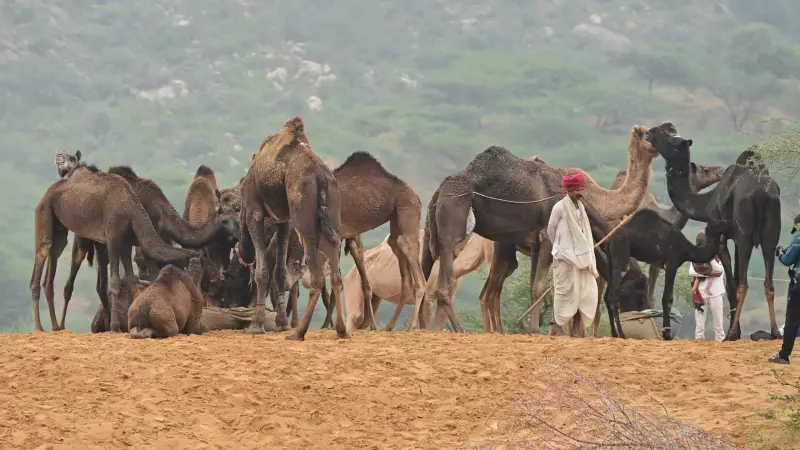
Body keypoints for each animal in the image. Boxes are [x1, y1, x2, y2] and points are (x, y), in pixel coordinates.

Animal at [31, 161, 199, 332]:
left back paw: (56, 326)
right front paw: (115, 326)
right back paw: (39, 327)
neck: (131, 206)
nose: (194, 288)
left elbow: (131, 279)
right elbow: (115, 282)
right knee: (43, 252)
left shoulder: (125, 240)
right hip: (44, 210)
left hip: (59, 226)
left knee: (54, 260)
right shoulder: (112, 235)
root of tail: (48, 192)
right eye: (191, 266)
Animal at [240, 116, 345, 340]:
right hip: (332, 211)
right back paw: (341, 330)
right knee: (334, 267)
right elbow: (280, 273)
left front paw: (256, 325)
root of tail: (320, 176)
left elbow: (262, 271)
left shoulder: (254, 211)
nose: (244, 254)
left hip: (303, 217)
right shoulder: (283, 220)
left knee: (316, 276)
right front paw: (281, 324)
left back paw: (299, 332)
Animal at [423, 125, 662, 333]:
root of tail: (438, 191)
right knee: (449, 284)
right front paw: (541, 330)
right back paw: (463, 330)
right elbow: (543, 286)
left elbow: (537, 285)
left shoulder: (537, 244)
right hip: (456, 220)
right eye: (646, 134)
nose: (644, 313)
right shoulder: (549, 236)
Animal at [604, 209, 729, 339]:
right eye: (716, 222)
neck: (687, 250)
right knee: (614, 296)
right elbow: (667, 299)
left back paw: (614, 334)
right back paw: (622, 335)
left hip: (610, 262)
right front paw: (667, 334)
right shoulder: (671, 264)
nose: (726, 222)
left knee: (607, 296)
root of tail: (609, 241)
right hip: (621, 257)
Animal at [648, 126, 782, 340]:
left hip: (745, 230)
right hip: (771, 232)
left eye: (671, 140)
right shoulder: (735, 239)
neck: (707, 202)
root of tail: (762, 193)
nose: (651, 132)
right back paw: (775, 332)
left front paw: (735, 333)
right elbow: (735, 277)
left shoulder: (720, 236)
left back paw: (732, 333)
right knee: (768, 282)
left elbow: (732, 285)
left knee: (744, 284)